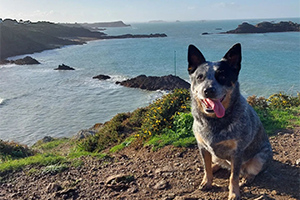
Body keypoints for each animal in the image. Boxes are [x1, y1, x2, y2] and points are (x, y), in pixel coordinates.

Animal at [189, 44, 274, 200]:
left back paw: (247, 177)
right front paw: (207, 181)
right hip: (216, 156)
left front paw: (234, 193)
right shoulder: (202, 147)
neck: (214, 121)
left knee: (250, 170)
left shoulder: (237, 152)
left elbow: (233, 177)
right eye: (200, 77)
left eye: (222, 76)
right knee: (217, 163)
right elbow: (206, 167)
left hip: (260, 158)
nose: (208, 90)